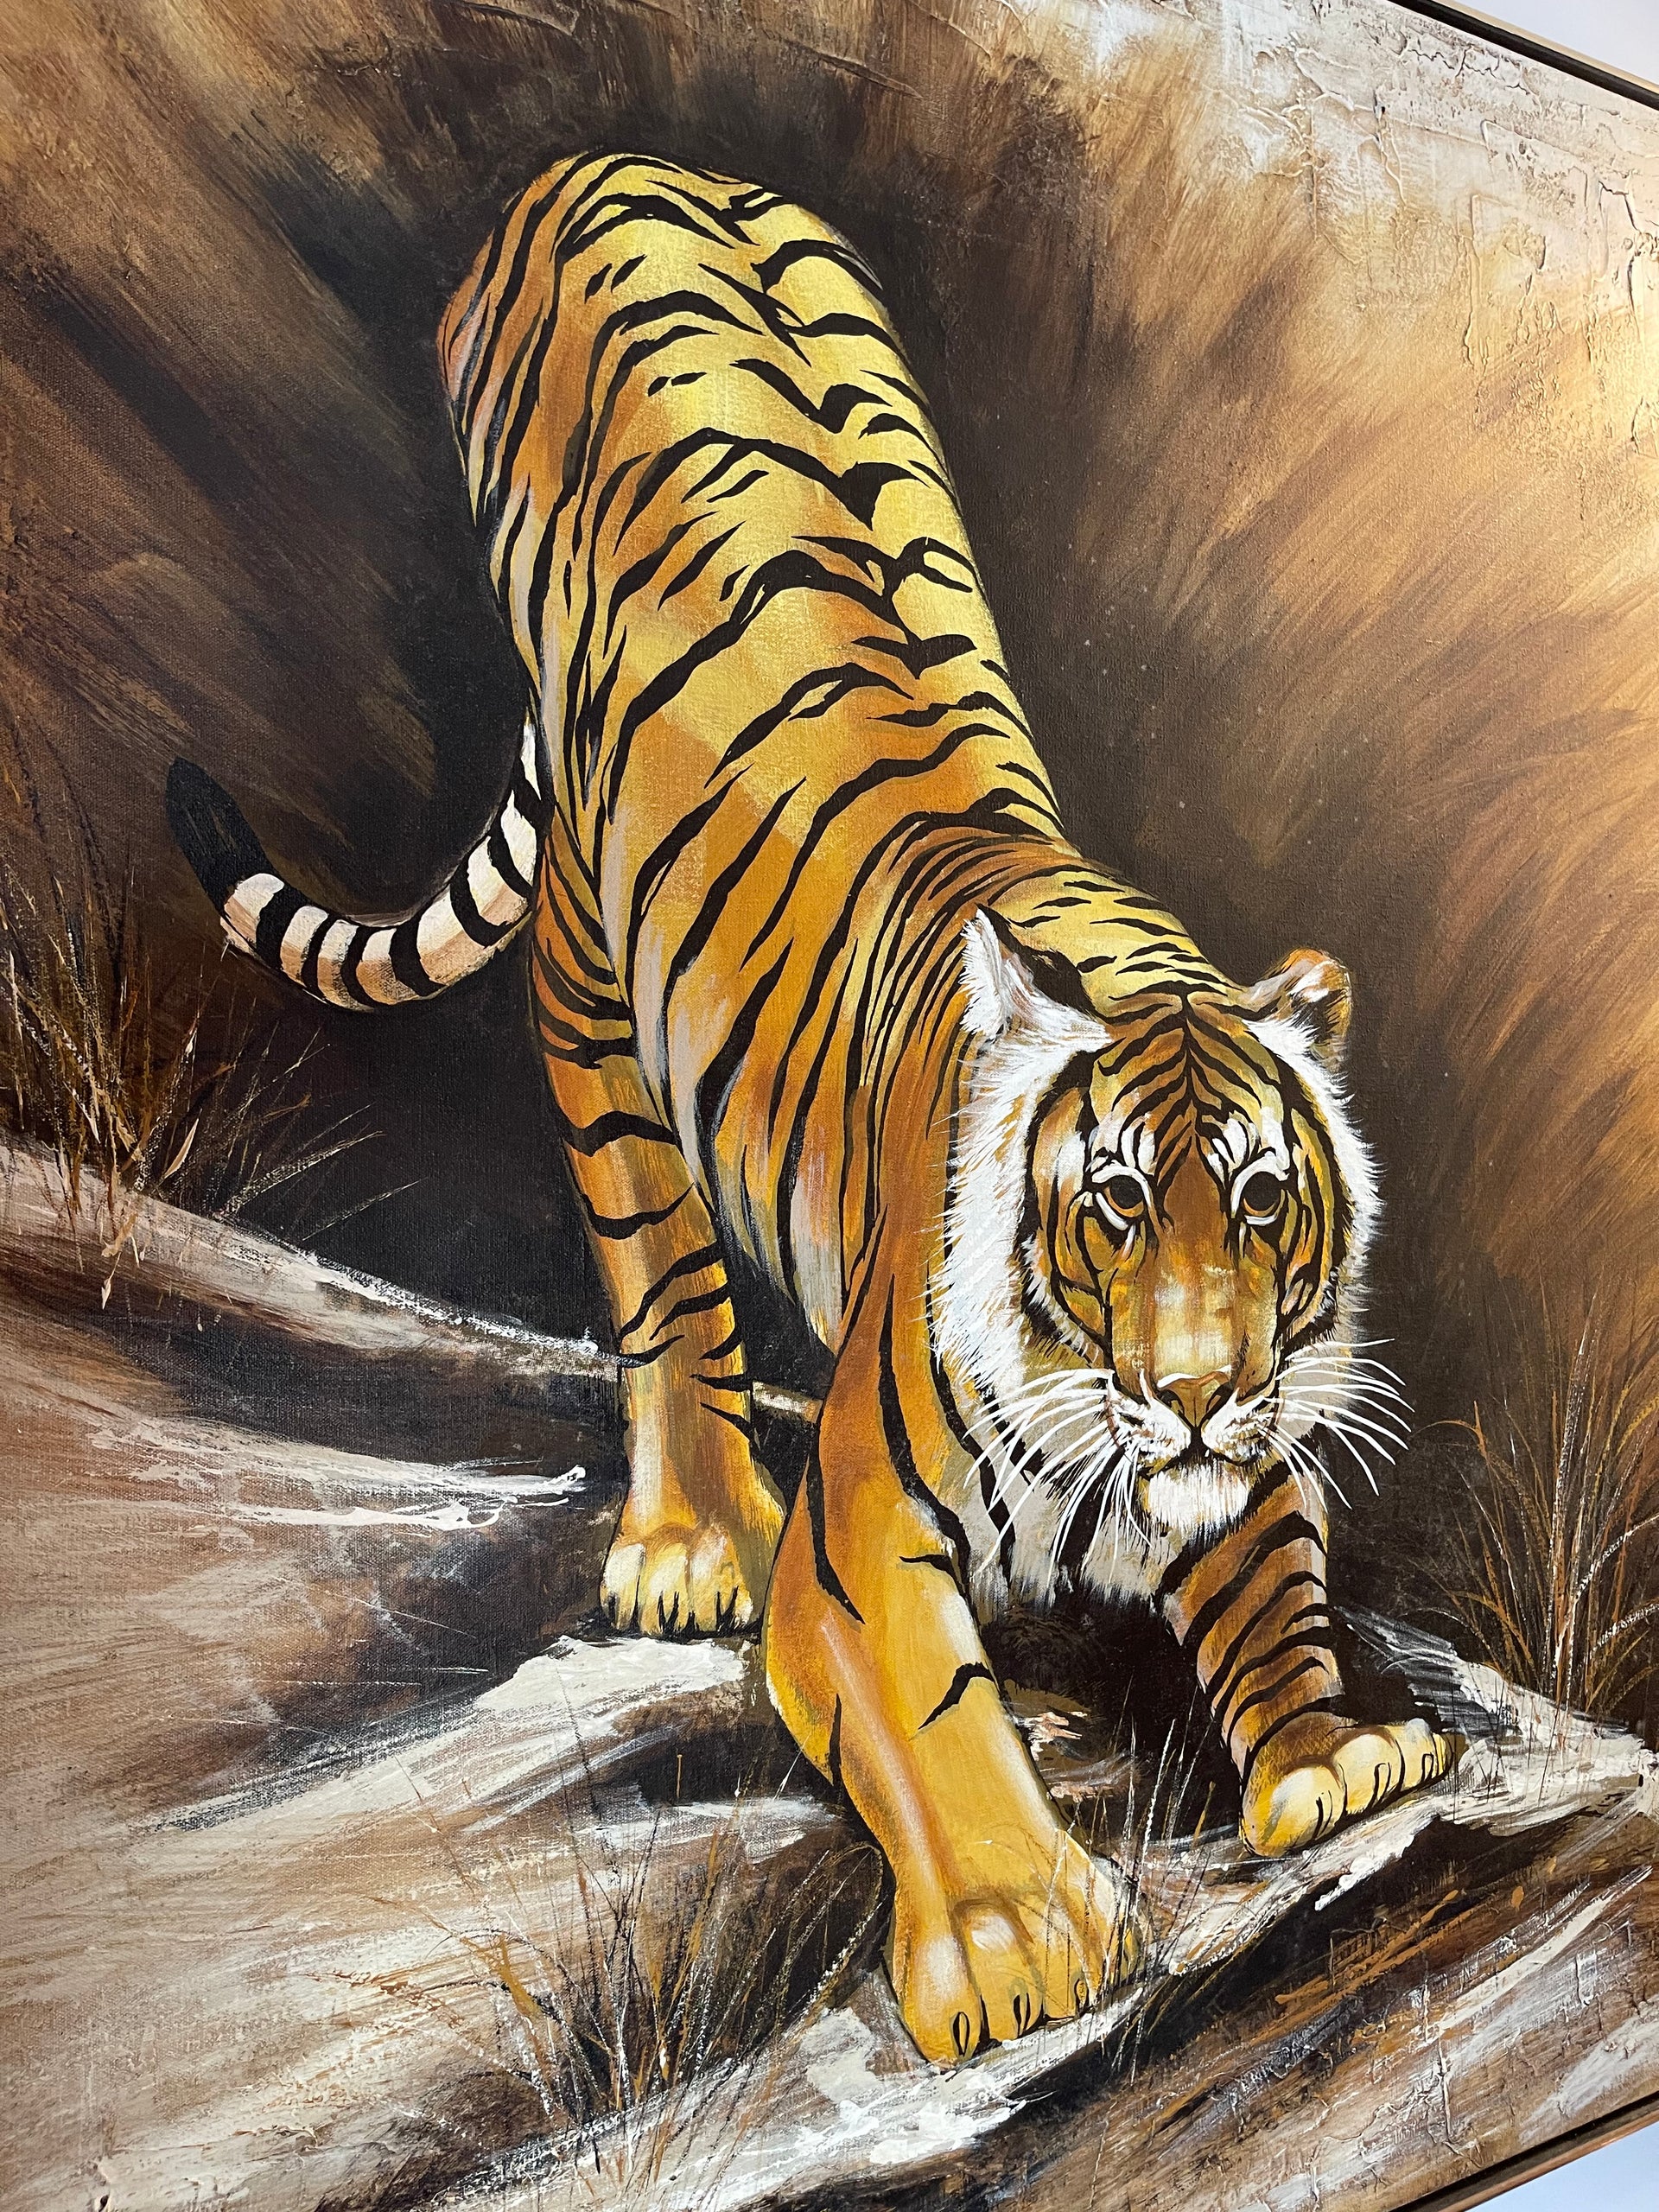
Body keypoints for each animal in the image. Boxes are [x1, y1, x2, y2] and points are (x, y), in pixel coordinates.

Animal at [167, 151, 1456, 2065]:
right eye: (1114, 1206)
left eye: (1265, 1201)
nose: (1198, 1389)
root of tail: (614, 161)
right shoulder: (866, 1541)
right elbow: (929, 1716)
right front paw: (1015, 1941)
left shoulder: (1246, 1463)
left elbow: (1276, 1587)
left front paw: (1331, 1758)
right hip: (596, 962)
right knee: (657, 1267)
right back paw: (691, 1539)